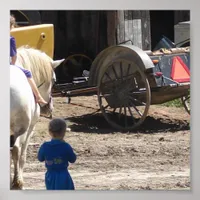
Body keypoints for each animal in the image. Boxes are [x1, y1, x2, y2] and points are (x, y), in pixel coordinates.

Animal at [9, 46, 64, 189]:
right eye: (54, 80)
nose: (48, 108)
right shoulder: (30, 128)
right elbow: (22, 154)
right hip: (22, 129)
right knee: (16, 150)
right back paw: (17, 181)